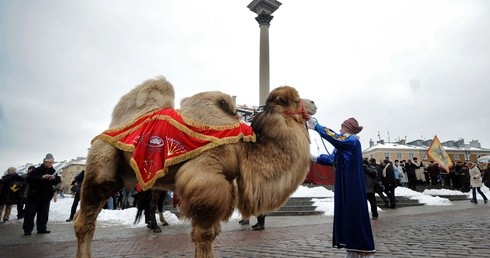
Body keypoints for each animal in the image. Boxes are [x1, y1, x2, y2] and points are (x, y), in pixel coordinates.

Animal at [74, 75, 316, 256]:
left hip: (124, 176)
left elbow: (213, 232)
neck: (243, 147)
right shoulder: (206, 177)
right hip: (101, 164)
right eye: (296, 100)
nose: (313, 103)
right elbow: (205, 235)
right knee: (84, 222)